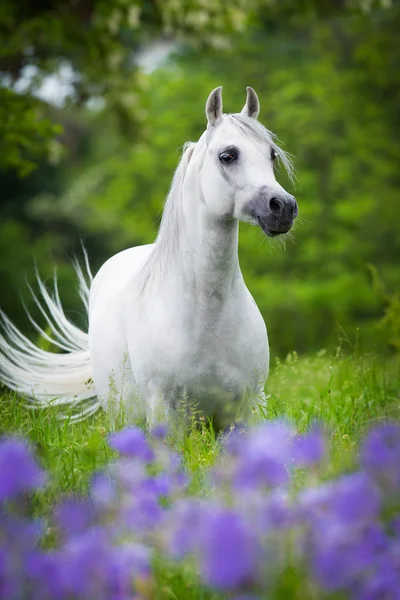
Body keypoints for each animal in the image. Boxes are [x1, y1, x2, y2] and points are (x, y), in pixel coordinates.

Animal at [0, 85, 296, 432]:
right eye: (228, 155)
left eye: (271, 154)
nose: (283, 207)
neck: (205, 318)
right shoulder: (165, 414)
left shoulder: (245, 410)